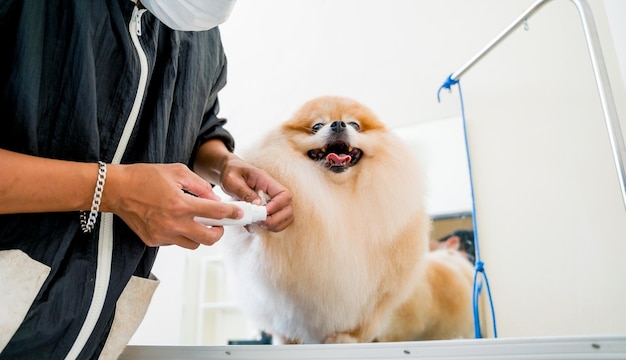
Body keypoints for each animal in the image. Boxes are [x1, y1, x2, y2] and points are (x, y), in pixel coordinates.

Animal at [222, 95, 470, 344]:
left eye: (355, 125)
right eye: (317, 126)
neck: (338, 195)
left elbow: (358, 320)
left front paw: (343, 337)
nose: (338, 124)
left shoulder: (376, 295)